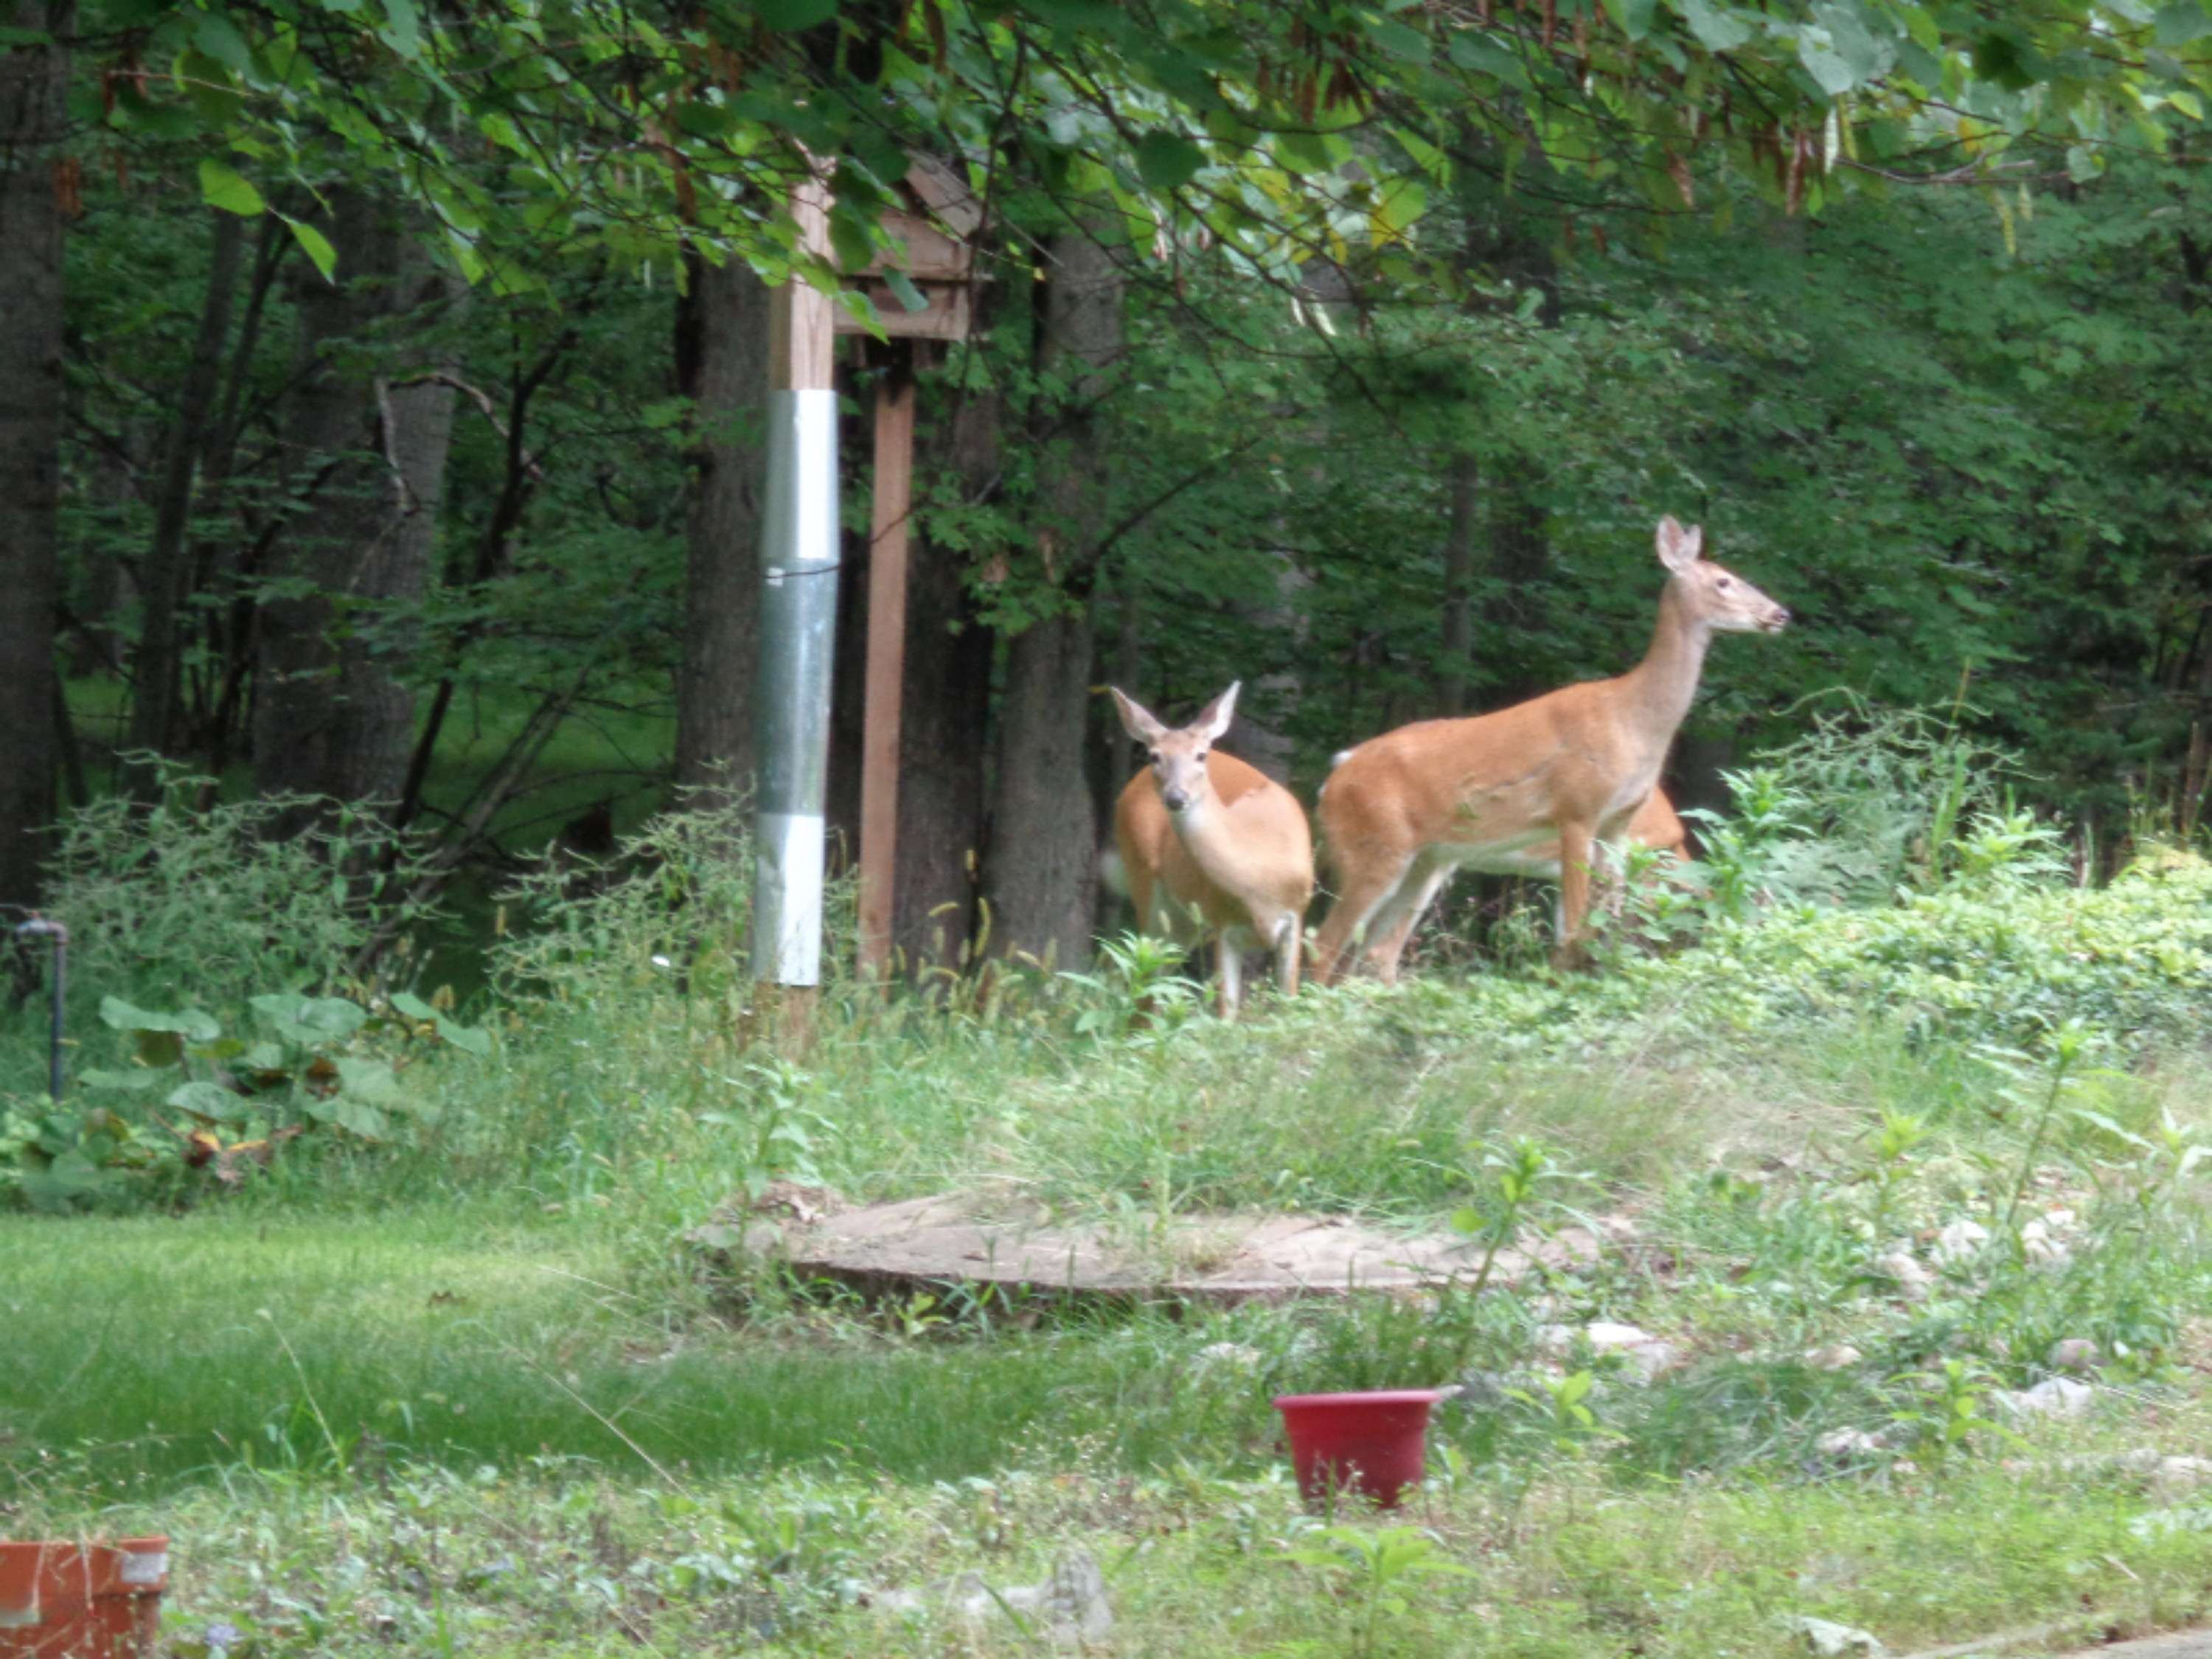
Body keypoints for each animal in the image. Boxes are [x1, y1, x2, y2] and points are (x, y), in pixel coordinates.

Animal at [1106, 681, 1310, 1022]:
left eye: (1201, 755)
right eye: (1154, 756)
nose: (1176, 797)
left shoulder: (1296, 915)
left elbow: (1289, 1004)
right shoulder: (1221, 921)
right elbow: (1225, 1016)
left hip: (1184, 923)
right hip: (1146, 887)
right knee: (1143, 985)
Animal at [1310, 520, 1778, 982]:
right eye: (1723, 581)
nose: (1780, 614)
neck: (1633, 721)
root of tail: (1332, 780)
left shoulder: (1618, 825)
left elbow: (1598, 933)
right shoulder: (1577, 808)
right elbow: (1575, 934)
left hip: (1427, 859)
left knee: (1368, 953)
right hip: (1374, 847)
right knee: (1328, 945)